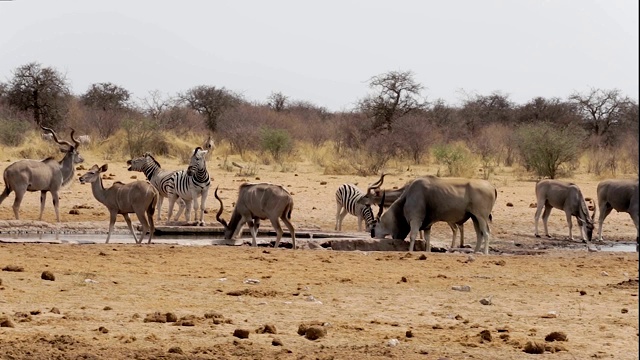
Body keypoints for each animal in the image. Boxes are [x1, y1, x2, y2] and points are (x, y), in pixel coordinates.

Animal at [370, 175, 500, 253]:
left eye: (374, 225)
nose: (372, 235)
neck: (407, 197)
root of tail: (492, 187)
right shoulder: (427, 226)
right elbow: (427, 240)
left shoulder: (415, 220)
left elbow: (412, 236)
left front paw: (410, 252)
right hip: (474, 218)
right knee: (479, 234)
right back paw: (475, 252)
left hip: (481, 217)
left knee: (486, 233)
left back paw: (484, 253)